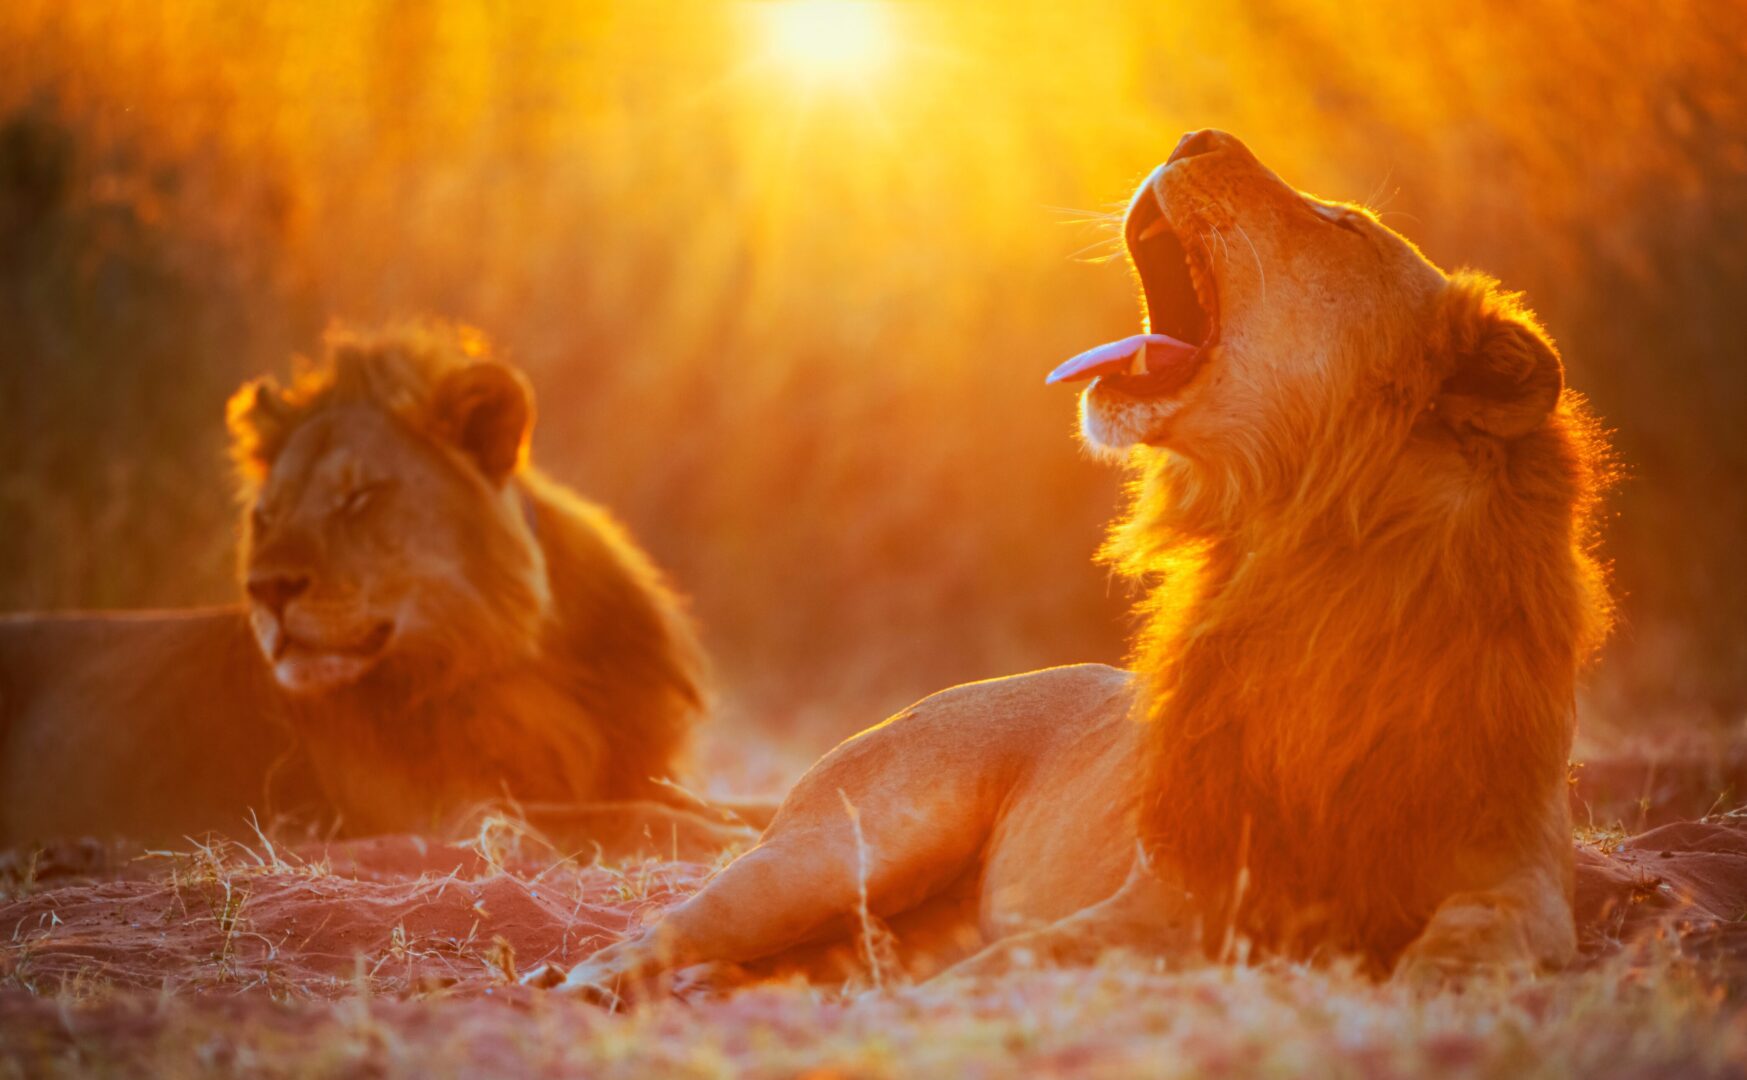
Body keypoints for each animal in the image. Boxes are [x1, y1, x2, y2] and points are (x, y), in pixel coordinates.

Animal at [0, 323, 756, 856]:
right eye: (266, 516)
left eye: (359, 498)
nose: (266, 589)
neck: (521, 662)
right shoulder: (452, 814)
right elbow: (631, 817)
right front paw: (727, 840)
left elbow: (723, 802)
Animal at [532, 130, 1612, 999]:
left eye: (1342, 226)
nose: (1195, 134)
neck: (1310, 569)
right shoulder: (1182, 882)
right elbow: (1035, 953)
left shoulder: (1514, 870)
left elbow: (1488, 928)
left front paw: (1440, 980)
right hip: (838, 850)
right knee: (666, 926)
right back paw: (582, 983)